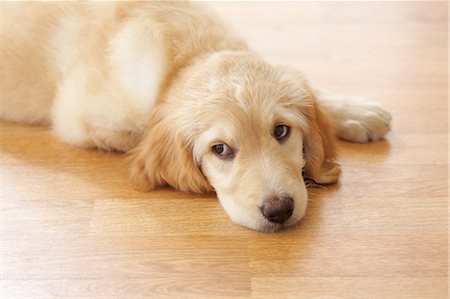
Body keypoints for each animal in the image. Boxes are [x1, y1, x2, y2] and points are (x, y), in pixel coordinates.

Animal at [0, 1, 390, 232]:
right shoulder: (81, 118)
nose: (279, 210)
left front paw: (355, 111)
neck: (186, 56)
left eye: (281, 131)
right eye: (220, 150)